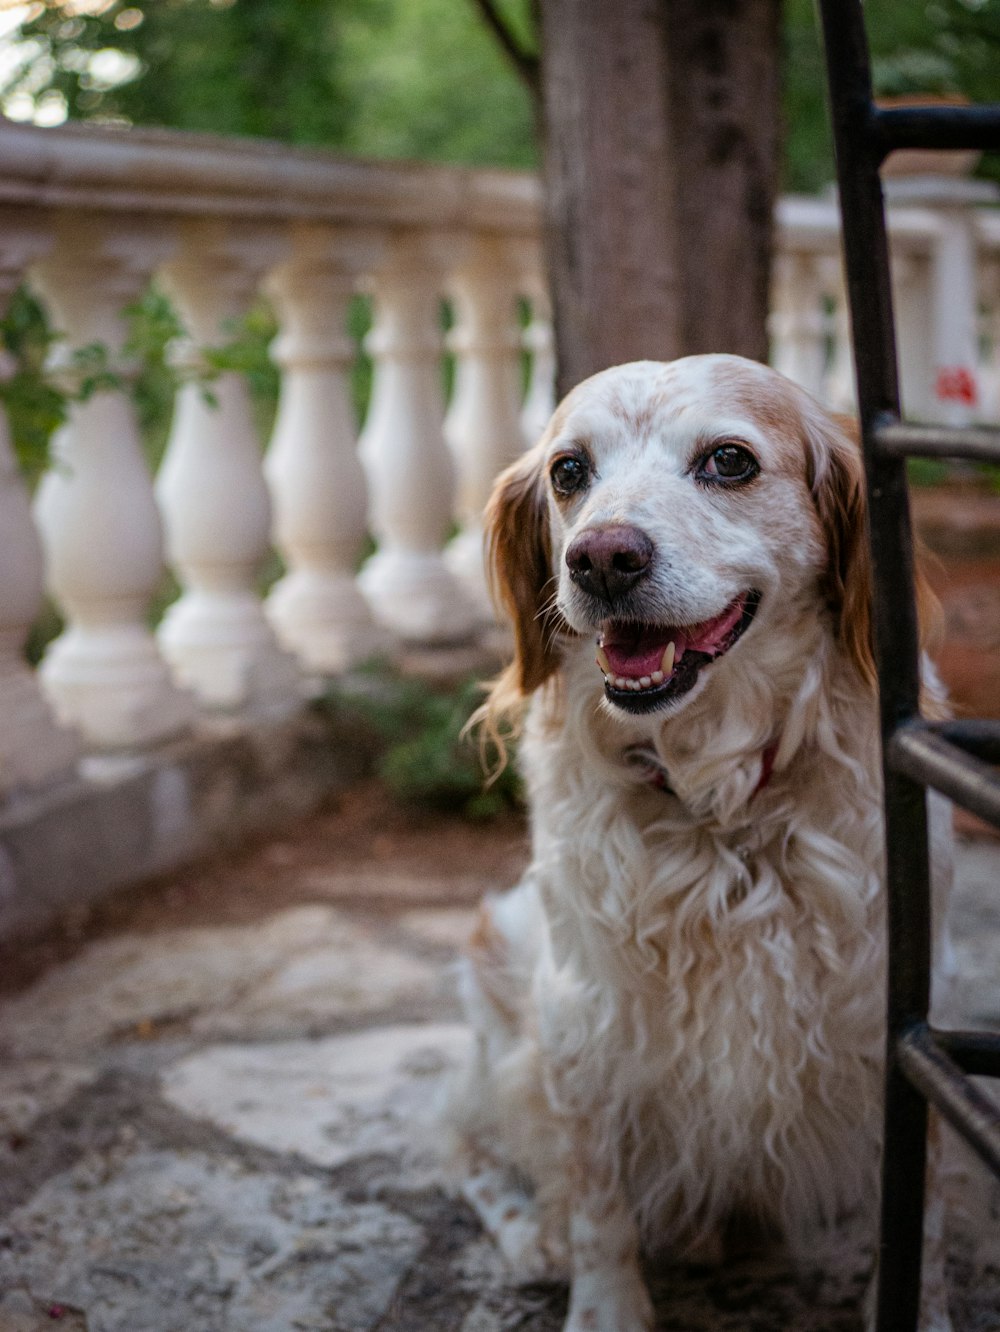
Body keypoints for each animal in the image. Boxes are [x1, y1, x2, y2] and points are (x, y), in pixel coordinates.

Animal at [452, 354, 953, 1332]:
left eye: (729, 460)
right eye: (569, 471)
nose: (601, 558)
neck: (719, 808)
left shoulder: (888, 1024)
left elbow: (915, 1203)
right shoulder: (581, 1020)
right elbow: (598, 1200)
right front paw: (605, 1305)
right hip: (500, 979)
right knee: (475, 1154)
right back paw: (536, 1238)